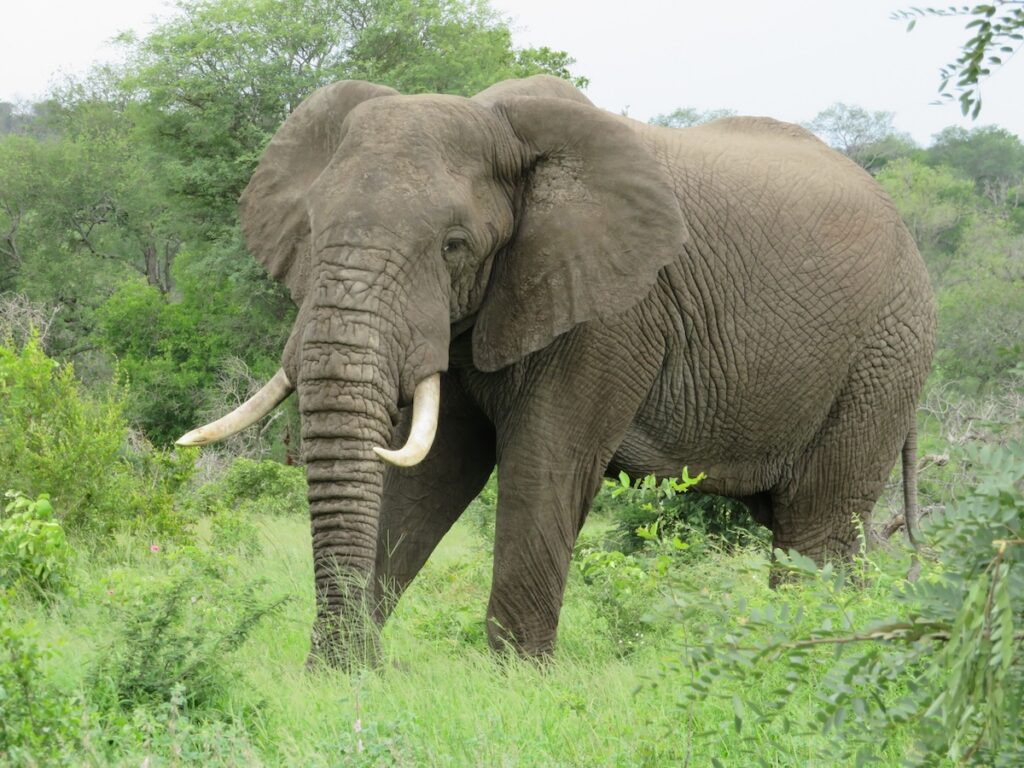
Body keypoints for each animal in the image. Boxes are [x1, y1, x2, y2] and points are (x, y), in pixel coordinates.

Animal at [177, 75, 935, 665]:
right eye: (311, 229)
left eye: (454, 245)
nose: (350, 663)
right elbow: (429, 475)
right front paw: (342, 679)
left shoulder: (609, 315)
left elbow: (545, 466)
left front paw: (510, 686)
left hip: (881, 358)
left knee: (816, 526)